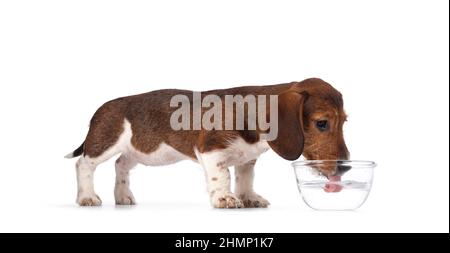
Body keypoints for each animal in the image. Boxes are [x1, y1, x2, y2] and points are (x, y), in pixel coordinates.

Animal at [65, 77, 350, 208]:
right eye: (322, 123)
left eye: (344, 121)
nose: (346, 167)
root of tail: (101, 109)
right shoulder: (211, 151)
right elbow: (222, 176)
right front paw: (225, 199)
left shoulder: (247, 159)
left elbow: (245, 179)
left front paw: (249, 198)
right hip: (104, 142)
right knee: (84, 164)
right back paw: (87, 197)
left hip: (137, 150)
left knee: (121, 166)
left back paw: (123, 196)